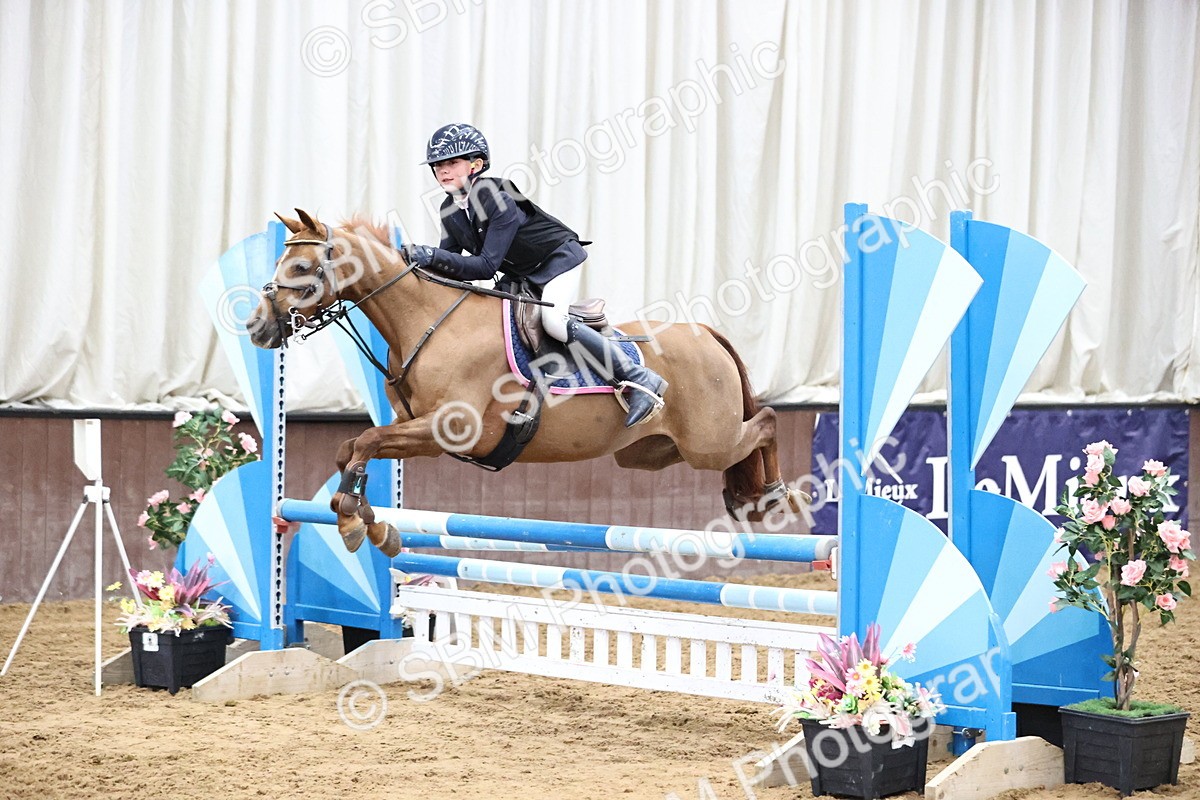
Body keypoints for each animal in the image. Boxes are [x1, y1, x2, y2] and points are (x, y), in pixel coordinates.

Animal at [247, 209, 805, 557]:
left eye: (302, 265)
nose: (256, 327)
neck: (427, 323)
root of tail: (706, 332)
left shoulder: (450, 430)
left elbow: (363, 441)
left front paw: (350, 521)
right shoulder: (419, 432)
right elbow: (352, 450)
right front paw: (374, 525)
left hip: (707, 441)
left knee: (765, 422)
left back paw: (771, 495)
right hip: (650, 452)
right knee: (738, 440)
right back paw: (745, 496)